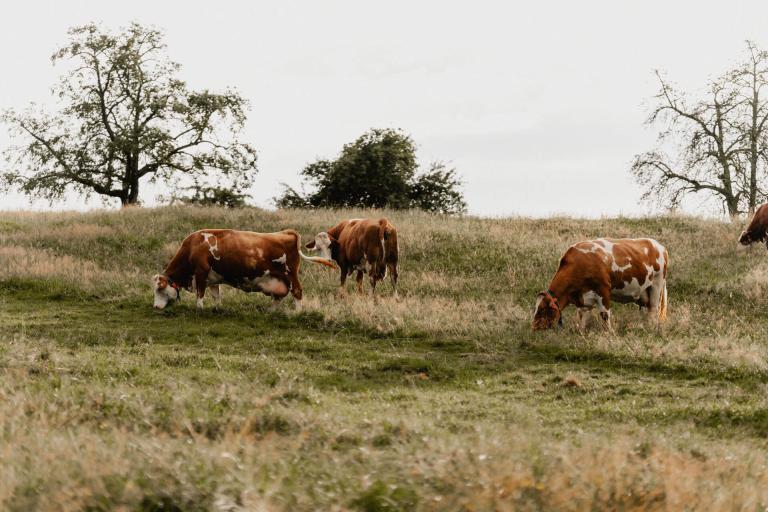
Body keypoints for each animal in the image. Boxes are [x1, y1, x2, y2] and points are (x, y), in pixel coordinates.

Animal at [154, 229, 336, 310]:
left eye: (160, 289)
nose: (155, 307)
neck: (193, 246)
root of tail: (287, 232)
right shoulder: (212, 278)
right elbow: (216, 295)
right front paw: (217, 309)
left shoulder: (200, 273)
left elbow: (200, 295)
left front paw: (199, 309)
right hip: (279, 279)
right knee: (278, 296)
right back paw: (272, 312)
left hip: (290, 274)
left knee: (297, 292)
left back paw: (297, 313)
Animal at [532, 238, 668, 330]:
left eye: (543, 310)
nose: (534, 329)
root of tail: (659, 246)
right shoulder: (582, 296)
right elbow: (581, 314)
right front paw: (580, 331)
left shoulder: (603, 290)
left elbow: (604, 315)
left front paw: (609, 333)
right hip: (644, 292)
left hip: (656, 285)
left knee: (653, 309)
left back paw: (651, 328)